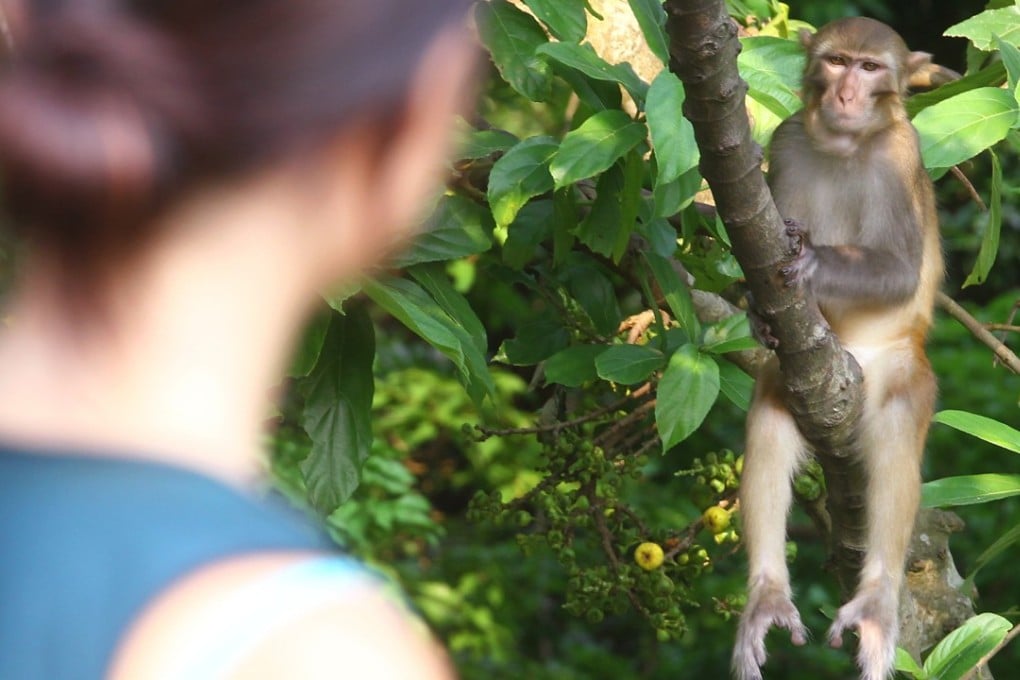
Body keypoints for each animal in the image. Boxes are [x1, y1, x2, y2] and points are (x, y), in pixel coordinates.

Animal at [732, 17, 944, 680]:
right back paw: (767, 594)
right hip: (810, 371)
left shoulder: (900, 157)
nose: (846, 95)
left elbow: (901, 271)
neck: (844, 147)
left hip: (894, 366)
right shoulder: (786, 141)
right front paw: (757, 312)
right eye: (837, 61)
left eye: (870, 68)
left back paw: (875, 601)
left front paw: (813, 263)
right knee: (773, 401)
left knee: (898, 419)